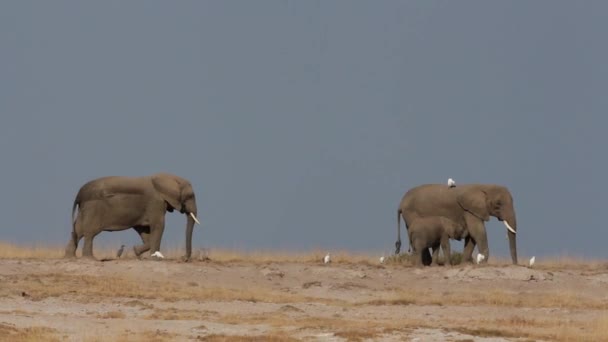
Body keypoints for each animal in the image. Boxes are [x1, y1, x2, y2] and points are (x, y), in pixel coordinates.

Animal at [64, 172, 202, 260]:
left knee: (78, 230)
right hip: (93, 208)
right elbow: (159, 226)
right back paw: (89, 258)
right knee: (90, 232)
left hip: (85, 208)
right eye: (190, 196)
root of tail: (79, 194)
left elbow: (144, 230)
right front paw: (155, 258)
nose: (183, 258)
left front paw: (136, 251)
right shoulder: (155, 203)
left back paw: (70, 257)